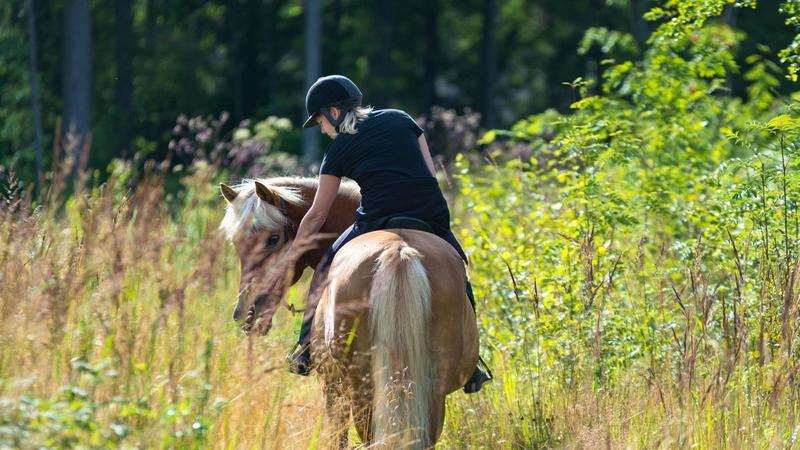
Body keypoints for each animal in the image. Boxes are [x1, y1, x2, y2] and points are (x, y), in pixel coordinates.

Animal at [218, 176, 479, 448]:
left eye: (273, 238)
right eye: (236, 243)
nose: (246, 313)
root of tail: (398, 252)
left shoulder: (332, 387)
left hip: (362, 391)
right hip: (429, 392)